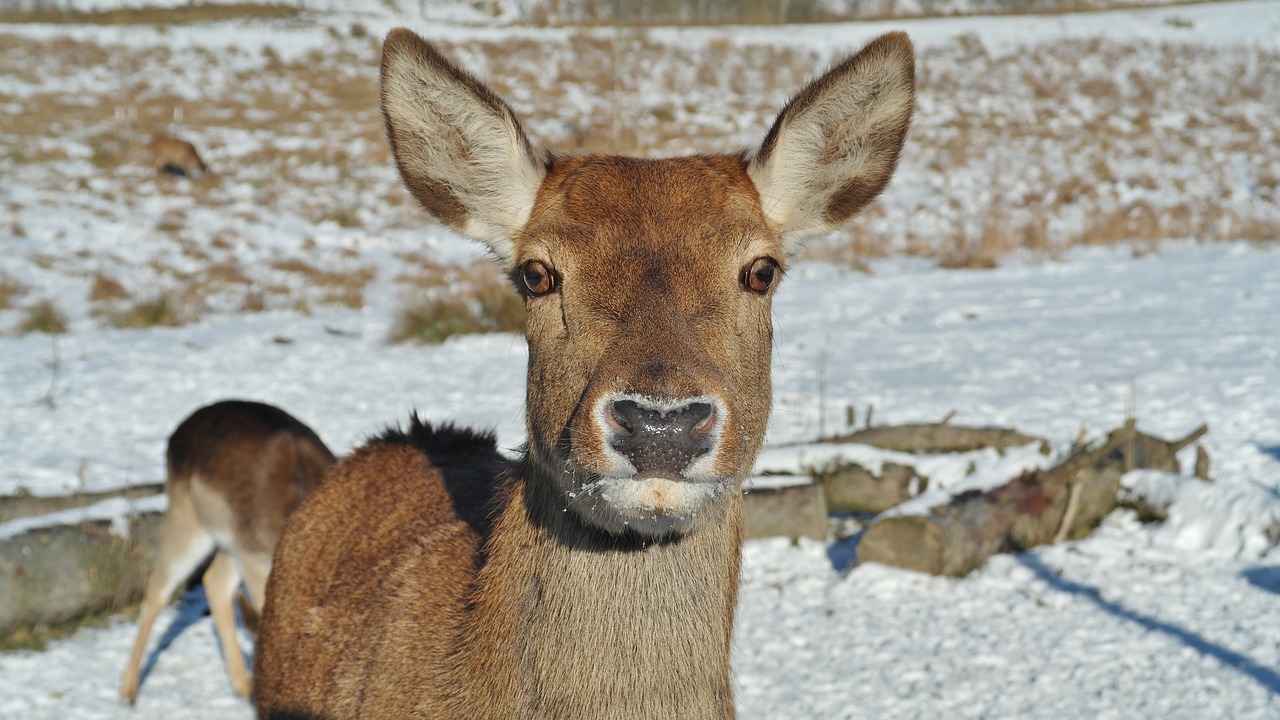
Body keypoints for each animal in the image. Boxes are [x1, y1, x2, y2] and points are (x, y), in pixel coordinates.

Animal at [120, 399, 335, 702]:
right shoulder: (257, 563)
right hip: (190, 521)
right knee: (157, 587)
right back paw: (127, 692)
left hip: (232, 543)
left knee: (214, 581)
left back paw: (242, 684)